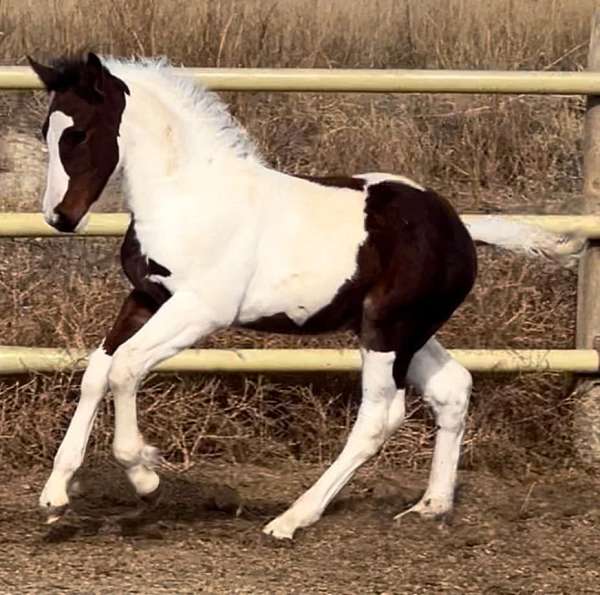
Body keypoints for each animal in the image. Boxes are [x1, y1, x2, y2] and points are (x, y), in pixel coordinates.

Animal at [28, 54, 580, 540]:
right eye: (46, 132)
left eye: (78, 134)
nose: (59, 217)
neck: (190, 196)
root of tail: (462, 229)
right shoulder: (147, 297)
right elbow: (99, 369)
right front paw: (56, 495)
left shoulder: (200, 309)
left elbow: (124, 370)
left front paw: (146, 475)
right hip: (404, 331)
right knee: (453, 388)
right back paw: (430, 507)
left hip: (388, 331)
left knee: (379, 417)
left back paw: (291, 520)